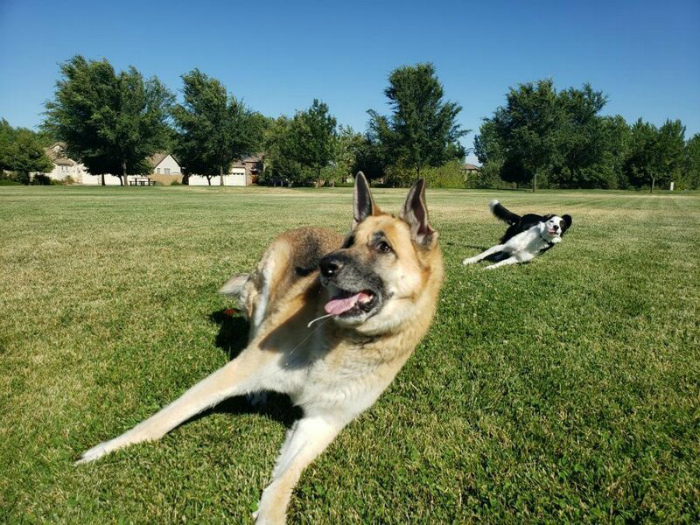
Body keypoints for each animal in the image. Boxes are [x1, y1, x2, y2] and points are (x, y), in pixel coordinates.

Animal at [78, 174, 442, 520]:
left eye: (383, 246)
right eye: (350, 242)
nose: (325, 266)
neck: (346, 341)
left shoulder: (322, 421)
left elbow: (284, 480)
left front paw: (270, 514)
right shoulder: (237, 370)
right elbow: (164, 417)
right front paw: (108, 448)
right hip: (263, 297)